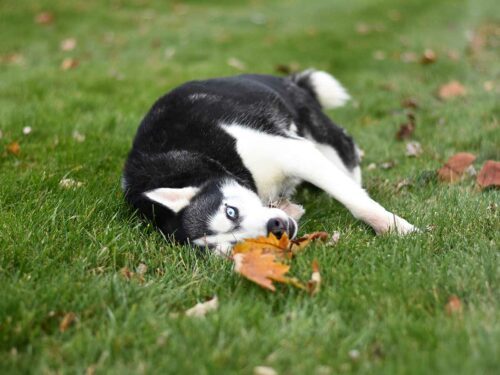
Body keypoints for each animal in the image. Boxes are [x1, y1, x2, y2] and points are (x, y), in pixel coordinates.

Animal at [122, 69, 418, 254]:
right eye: (236, 246)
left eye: (230, 212)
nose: (275, 227)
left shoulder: (293, 151)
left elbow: (356, 201)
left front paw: (395, 228)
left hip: (311, 124)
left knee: (345, 147)